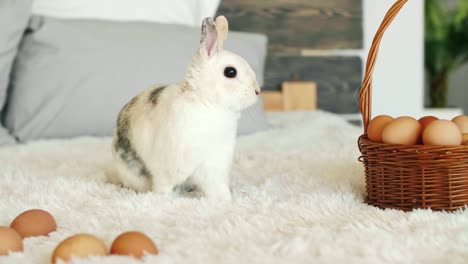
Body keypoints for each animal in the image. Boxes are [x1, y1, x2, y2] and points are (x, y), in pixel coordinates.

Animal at [112, 15, 262, 200]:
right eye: (230, 72)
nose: (257, 91)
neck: (207, 103)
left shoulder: (214, 165)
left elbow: (217, 187)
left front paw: (225, 200)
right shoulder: (167, 168)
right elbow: (164, 186)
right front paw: (164, 199)